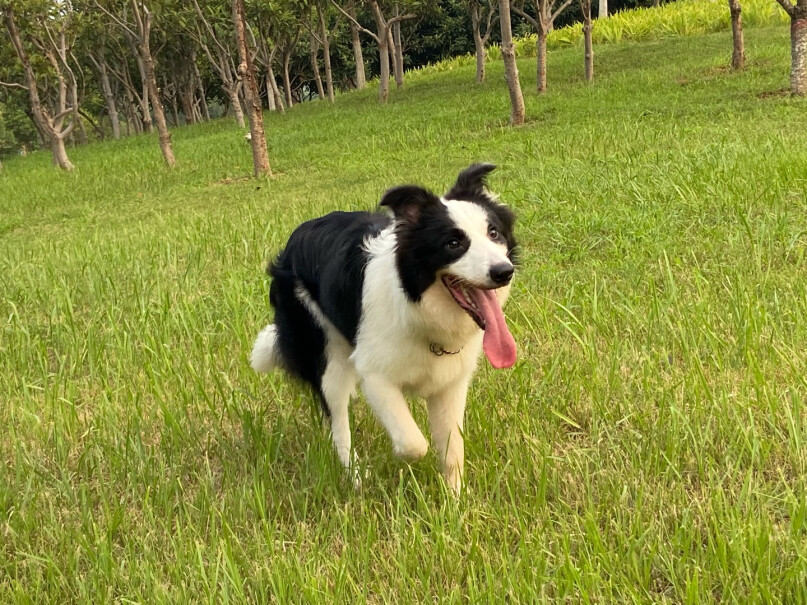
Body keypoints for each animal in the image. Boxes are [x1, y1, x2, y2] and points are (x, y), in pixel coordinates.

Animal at [251, 163, 516, 494]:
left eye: (493, 233)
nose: (504, 272)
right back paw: (355, 476)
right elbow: (414, 444)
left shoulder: (450, 383)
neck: (417, 307)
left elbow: (453, 448)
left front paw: (455, 499)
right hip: (328, 357)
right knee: (337, 421)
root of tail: (294, 240)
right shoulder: (375, 376)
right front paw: (402, 466)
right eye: (453, 244)